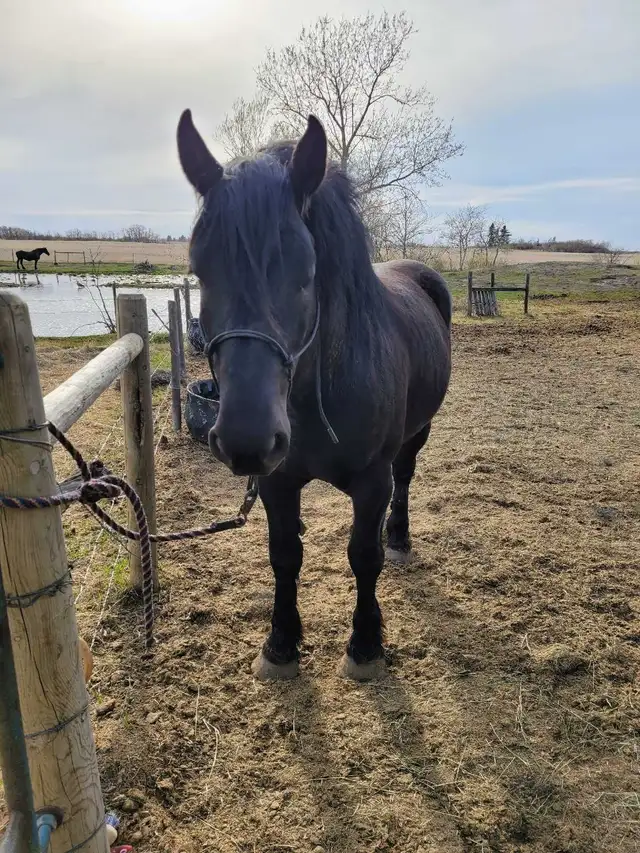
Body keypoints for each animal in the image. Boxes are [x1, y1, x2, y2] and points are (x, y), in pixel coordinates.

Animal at [177, 110, 452, 681]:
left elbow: (363, 556)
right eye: (199, 271)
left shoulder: (371, 482)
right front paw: (280, 644)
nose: (246, 440)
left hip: (417, 434)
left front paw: (365, 646)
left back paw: (399, 537)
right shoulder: (277, 480)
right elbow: (285, 555)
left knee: (405, 479)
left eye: (307, 272)